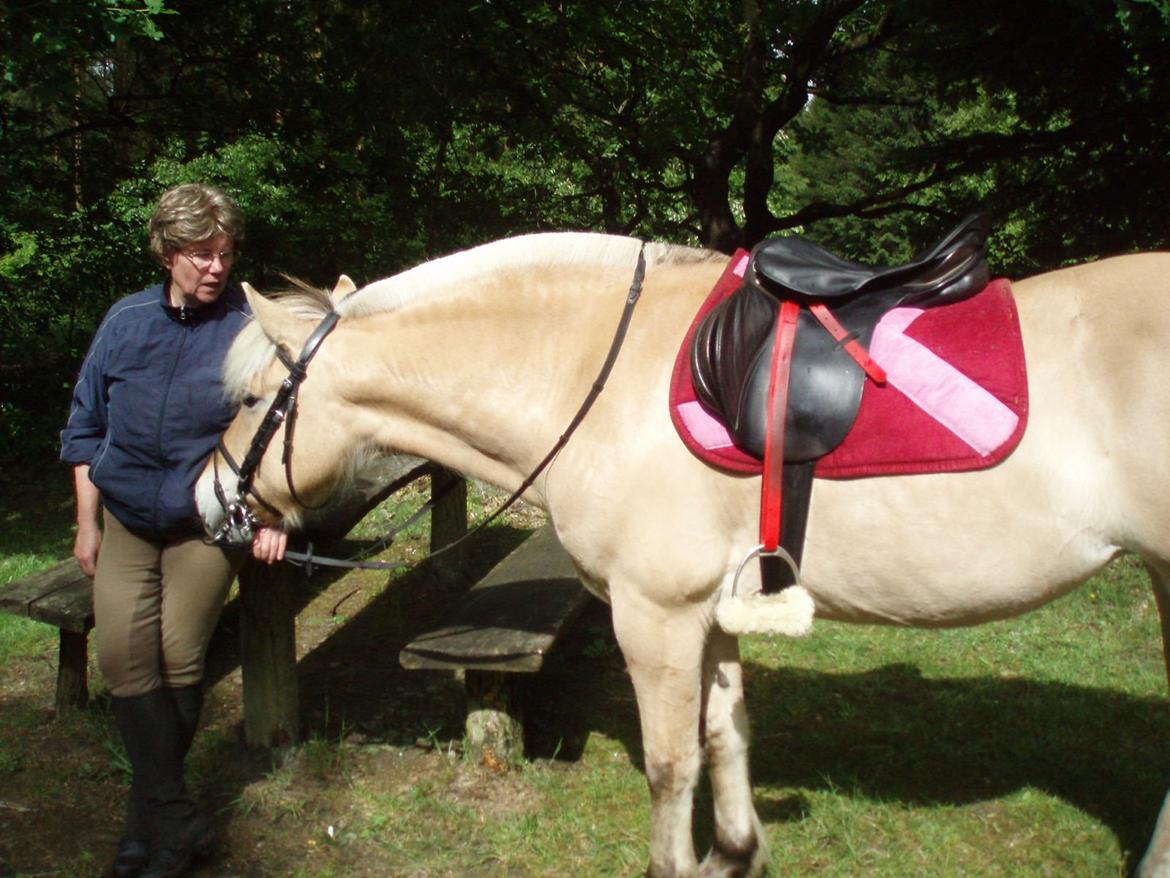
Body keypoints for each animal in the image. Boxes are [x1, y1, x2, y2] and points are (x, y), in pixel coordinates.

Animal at [196, 230, 1170, 875]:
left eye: (246, 399)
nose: (207, 500)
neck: (596, 378)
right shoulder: (710, 608)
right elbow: (726, 732)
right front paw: (736, 852)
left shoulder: (653, 616)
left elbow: (672, 766)